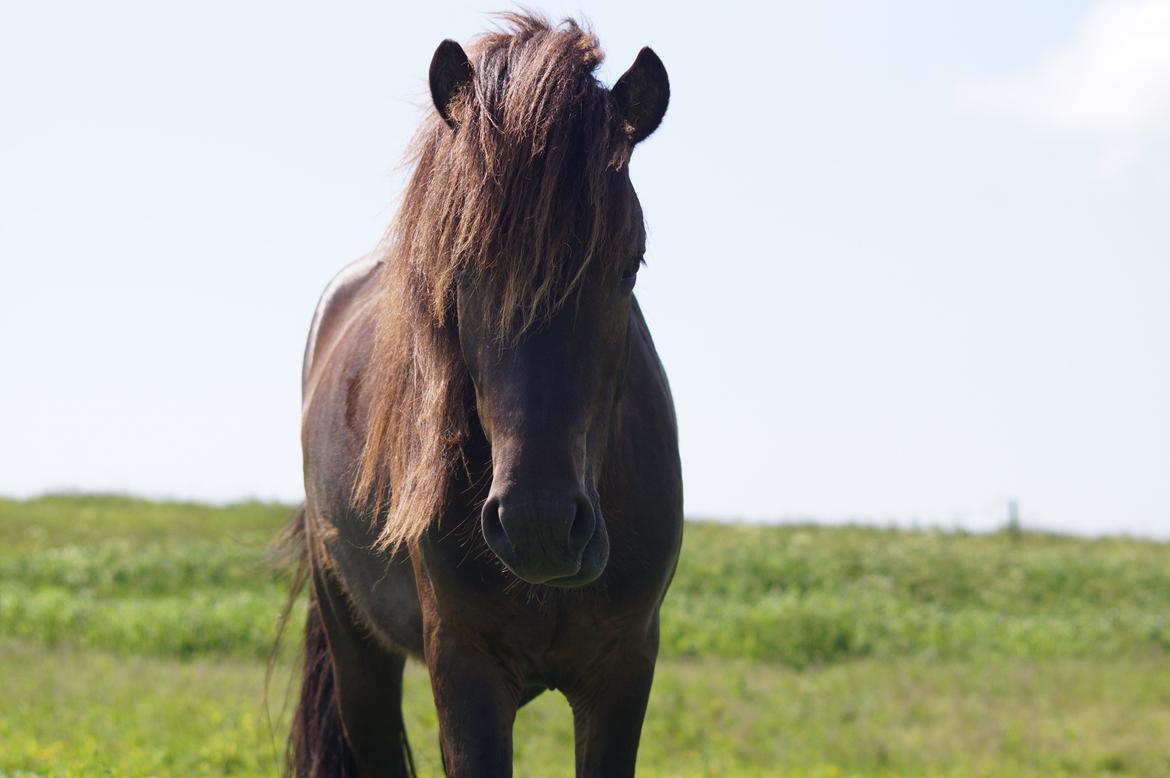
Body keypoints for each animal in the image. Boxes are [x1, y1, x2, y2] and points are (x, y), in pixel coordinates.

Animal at [286, 13, 683, 776]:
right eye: (459, 268)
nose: (540, 526)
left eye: (630, 264)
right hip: (357, 653)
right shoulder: (463, 670)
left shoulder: (624, 671)